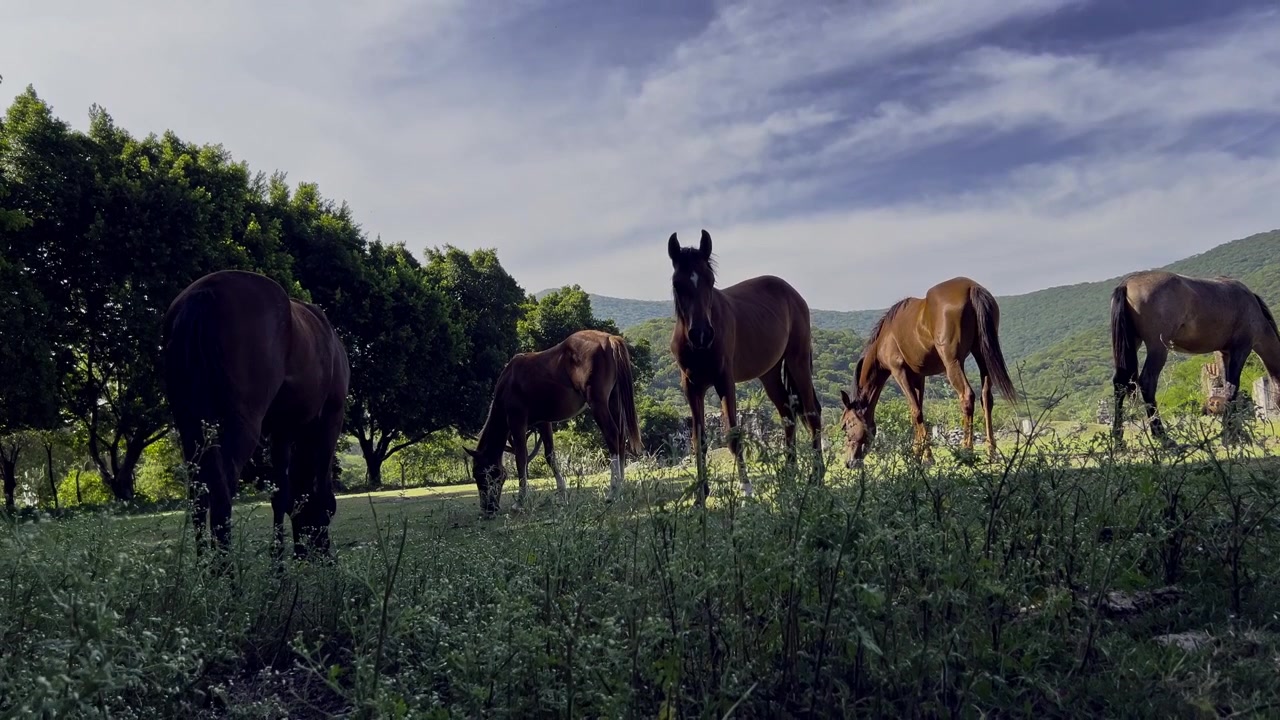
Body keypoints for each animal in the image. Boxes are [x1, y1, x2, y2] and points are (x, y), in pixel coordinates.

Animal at [161, 269, 350, 560]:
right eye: (329, 514)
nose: (309, 554)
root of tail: (203, 294)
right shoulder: (330, 418)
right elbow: (316, 488)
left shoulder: (282, 430)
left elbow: (281, 493)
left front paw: (278, 562)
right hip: (241, 424)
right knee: (222, 490)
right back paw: (223, 568)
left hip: (188, 423)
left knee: (198, 492)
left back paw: (203, 565)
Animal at [464, 329, 642, 517]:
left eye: (479, 474)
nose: (487, 509)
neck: (509, 380)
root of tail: (609, 339)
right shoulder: (544, 423)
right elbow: (550, 456)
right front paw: (562, 494)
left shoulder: (517, 421)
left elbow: (521, 458)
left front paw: (520, 502)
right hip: (614, 401)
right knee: (621, 439)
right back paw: (620, 487)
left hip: (598, 403)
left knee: (612, 435)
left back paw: (613, 492)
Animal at [666, 230, 824, 504]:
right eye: (678, 283)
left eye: (710, 280)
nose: (701, 334)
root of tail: (794, 295)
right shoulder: (692, 387)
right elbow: (699, 440)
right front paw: (700, 496)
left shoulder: (724, 382)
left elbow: (733, 435)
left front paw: (746, 490)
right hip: (769, 374)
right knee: (788, 414)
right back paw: (789, 476)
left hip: (798, 361)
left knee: (812, 412)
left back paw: (816, 477)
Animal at [840, 276, 1016, 466]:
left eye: (847, 424)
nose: (849, 462)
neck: (885, 338)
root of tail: (971, 287)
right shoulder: (919, 377)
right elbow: (918, 412)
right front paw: (919, 453)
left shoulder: (899, 372)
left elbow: (915, 412)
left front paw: (927, 457)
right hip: (982, 355)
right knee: (986, 398)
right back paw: (991, 452)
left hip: (953, 362)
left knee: (967, 396)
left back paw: (966, 451)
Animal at [1110, 270, 1280, 445]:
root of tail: (1126, 284)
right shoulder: (1241, 349)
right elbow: (1232, 388)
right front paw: (1231, 435)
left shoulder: (1223, 353)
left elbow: (1226, 388)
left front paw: (1234, 431)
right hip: (1157, 347)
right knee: (1147, 382)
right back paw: (1164, 438)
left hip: (1133, 343)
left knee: (1120, 383)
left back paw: (1118, 441)